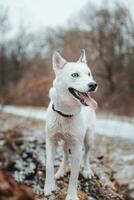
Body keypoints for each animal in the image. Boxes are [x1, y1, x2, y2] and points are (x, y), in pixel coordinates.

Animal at [44, 49, 97, 199]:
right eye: (75, 75)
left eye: (89, 74)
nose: (93, 84)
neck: (65, 114)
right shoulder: (50, 140)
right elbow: (49, 166)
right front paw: (48, 187)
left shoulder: (77, 146)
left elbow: (74, 175)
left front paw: (72, 196)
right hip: (64, 142)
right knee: (65, 156)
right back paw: (61, 171)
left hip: (89, 138)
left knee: (86, 155)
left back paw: (87, 170)